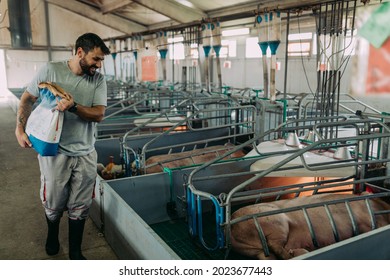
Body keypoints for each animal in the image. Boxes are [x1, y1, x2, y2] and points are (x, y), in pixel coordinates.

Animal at [229, 194, 390, 260]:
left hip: (254, 250)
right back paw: (298, 252)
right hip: (277, 222)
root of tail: (232, 226)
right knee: (278, 247)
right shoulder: (368, 217)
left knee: (270, 256)